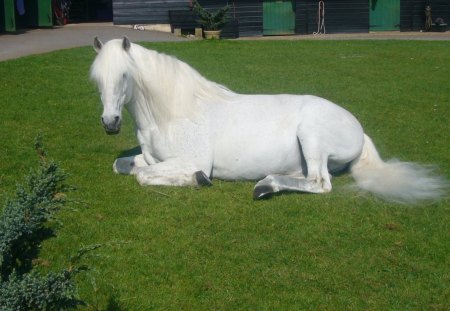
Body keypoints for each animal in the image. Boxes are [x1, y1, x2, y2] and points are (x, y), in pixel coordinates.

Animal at [89, 37, 444, 204]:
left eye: (124, 75)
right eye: (96, 79)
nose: (110, 123)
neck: (174, 114)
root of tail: (358, 128)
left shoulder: (191, 159)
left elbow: (143, 176)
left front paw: (199, 179)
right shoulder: (151, 157)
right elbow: (125, 166)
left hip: (311, 135)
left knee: (320, 183)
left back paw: (265, 186)